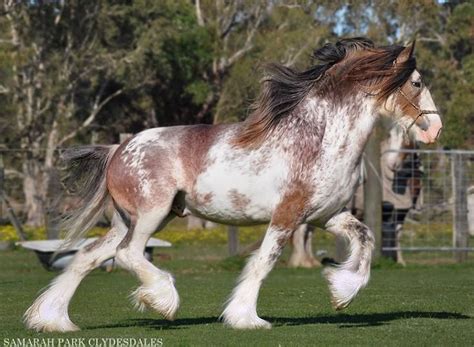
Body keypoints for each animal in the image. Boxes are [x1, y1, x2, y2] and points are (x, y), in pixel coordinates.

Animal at [24, 36, 442, 334]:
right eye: (417, 82)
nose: (434, 129)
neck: (319, 137)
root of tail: (118, 149)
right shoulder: (287, 215)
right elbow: (264, 262)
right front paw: (246, 318)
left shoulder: (328, 215)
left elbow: (367, 239)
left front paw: (341, 292)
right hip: (150, 216)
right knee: (128, 255)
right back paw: (163, 301)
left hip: (131, 220)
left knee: (87, 257)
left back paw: (54, 321)